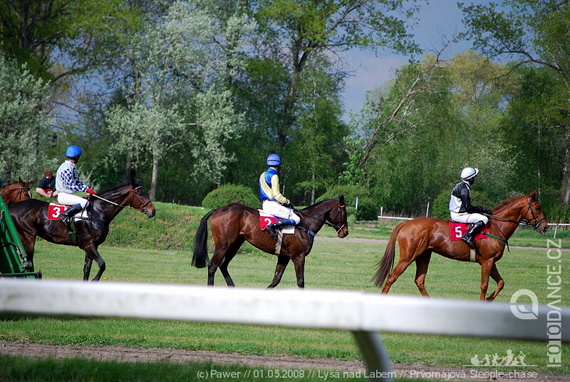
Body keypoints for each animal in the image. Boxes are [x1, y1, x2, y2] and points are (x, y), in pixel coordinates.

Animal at [8, 179, 155, 280]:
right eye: (140, 193)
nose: (152, 211)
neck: (97, 212)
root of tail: (12, 207)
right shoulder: (87, 245)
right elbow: (102, 264)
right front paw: (95, 280)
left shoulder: (92, 246)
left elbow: (87, 269)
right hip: (28, 237)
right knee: (29, 262)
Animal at [193, 197, 348, 286]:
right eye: (344, 212)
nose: (345, 232)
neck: (306, 223)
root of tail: (217, 210)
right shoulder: (298, 256)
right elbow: (300, 281)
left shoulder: (284, 256)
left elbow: (276, 279)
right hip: (223, 245)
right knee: (213, 266)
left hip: (235, 245)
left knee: (223, 265)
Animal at [372, 191, 544, 302]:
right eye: (537, 207)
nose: (544, 226)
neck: (496, 227)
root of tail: (406, 223)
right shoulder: (487, 261)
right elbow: (484, 285)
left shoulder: (490, 261)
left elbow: (501, 283)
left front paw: (489, 300)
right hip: (409, 256)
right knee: (392, 276)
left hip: (423, 255)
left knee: (419, 280)